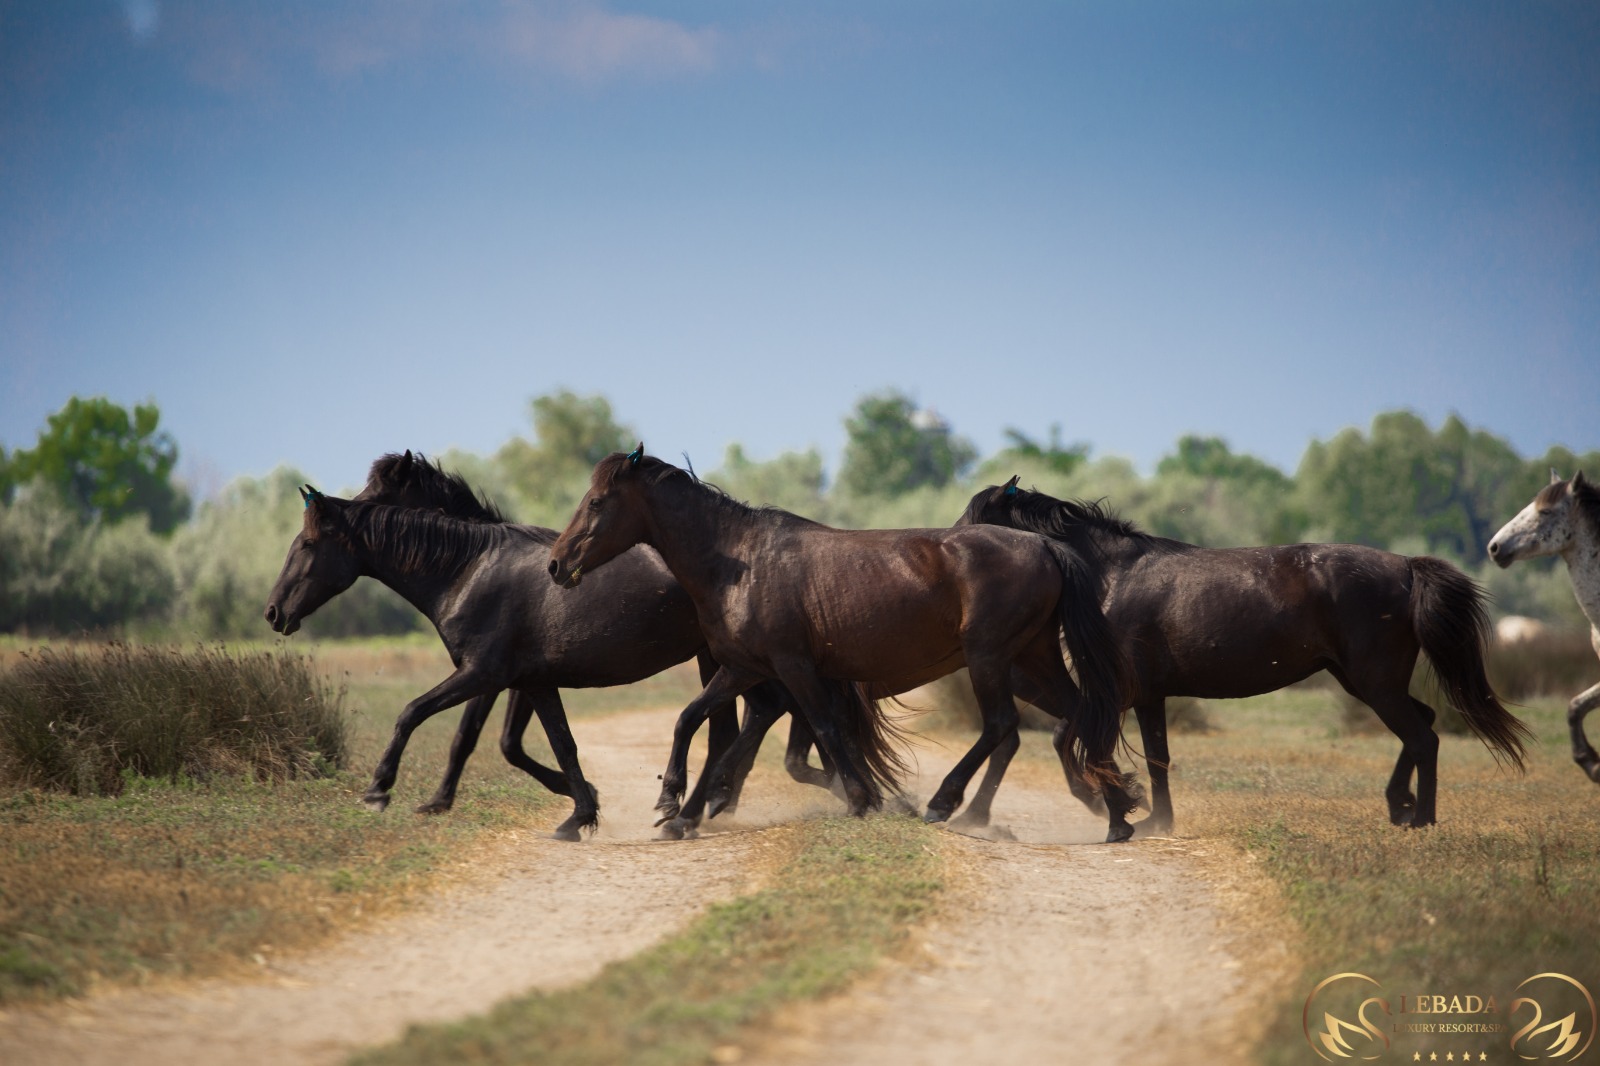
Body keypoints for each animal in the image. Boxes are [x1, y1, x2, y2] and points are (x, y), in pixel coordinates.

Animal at [953, 473, 1529, 832]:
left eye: (977, 515)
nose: (950, 548)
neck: (1112, 573)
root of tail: (1407, 567)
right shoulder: (1148, 694)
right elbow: (1157, 757)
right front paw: (1155, 819)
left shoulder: (1117, 689)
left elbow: (1064, 736)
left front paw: (1102, 802)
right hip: (1364, 680)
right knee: (1423, 725)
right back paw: (1401, 805)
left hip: (1374, 682)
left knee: (1424, 737)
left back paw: (1420, 817)